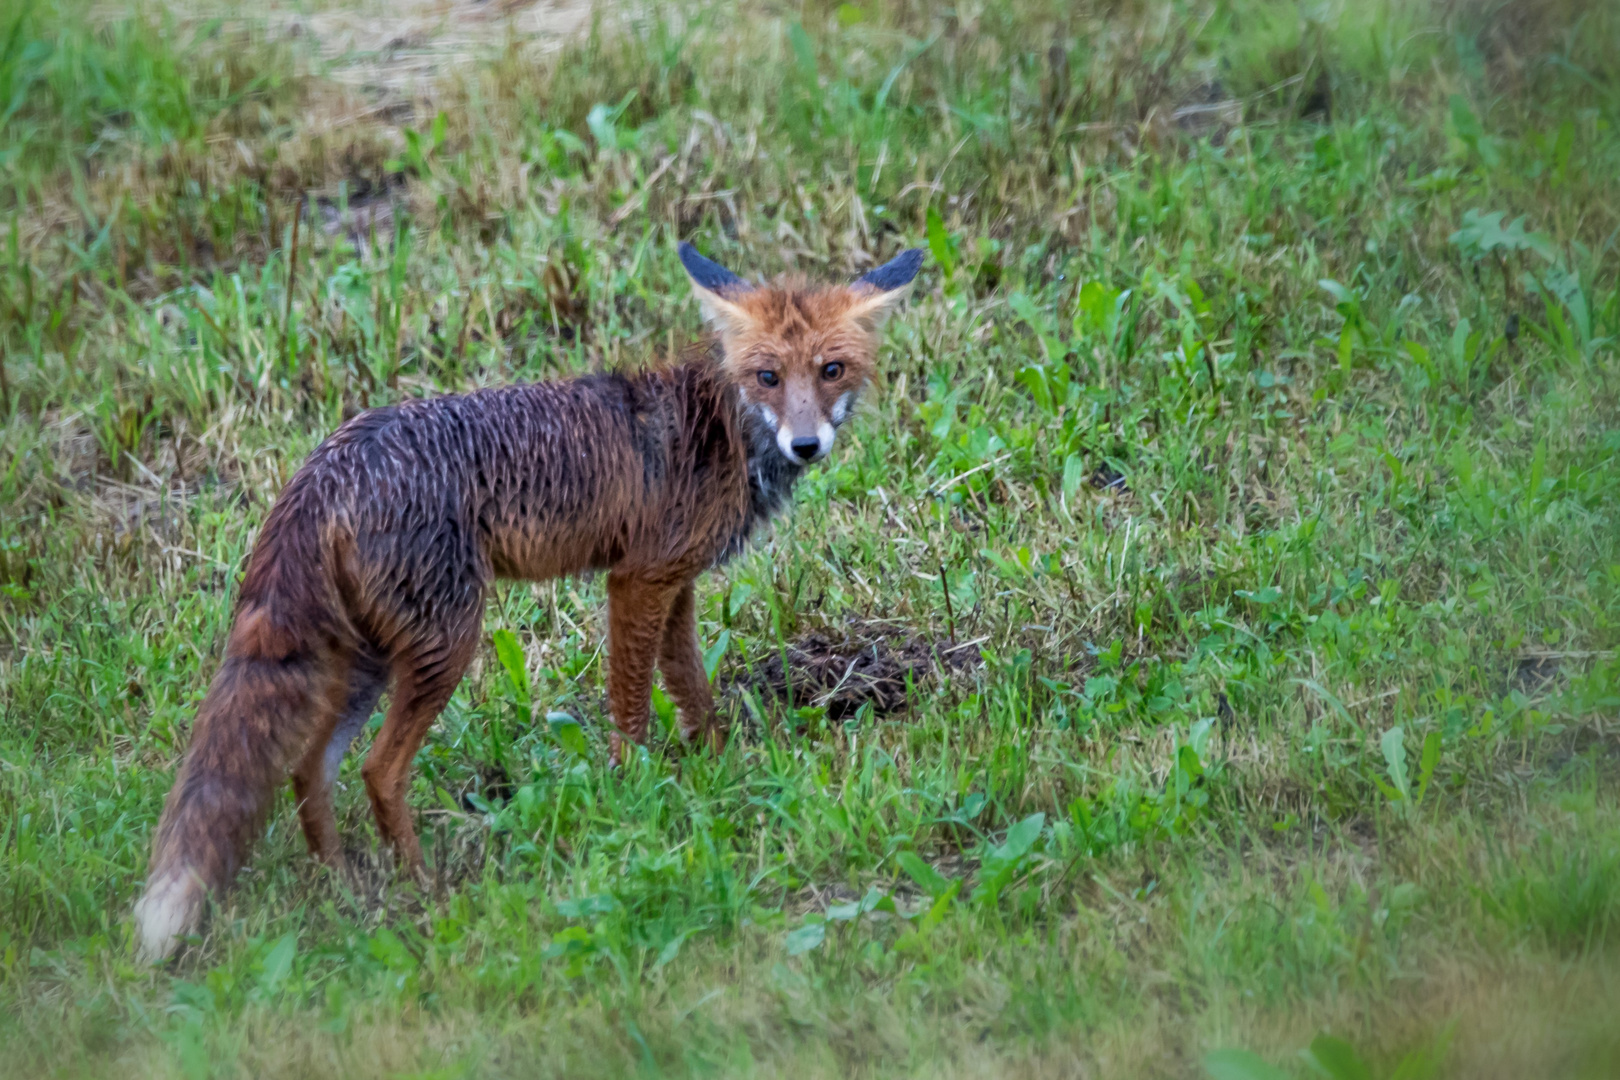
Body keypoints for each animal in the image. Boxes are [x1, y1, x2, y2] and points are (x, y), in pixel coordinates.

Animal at [134, 242, 926, 965]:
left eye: (831, 370)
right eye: (768, 376)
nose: (806, 445)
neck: (720, 428)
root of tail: (327, 462)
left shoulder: (679, 585)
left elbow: (692, 692)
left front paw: (720, 771)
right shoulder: (637, 580)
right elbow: (631, 709)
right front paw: (633, 798)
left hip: (368, 660)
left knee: (310, 768)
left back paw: (347, 888)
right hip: (446, 644)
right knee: (377, 771)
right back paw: (421, 888)